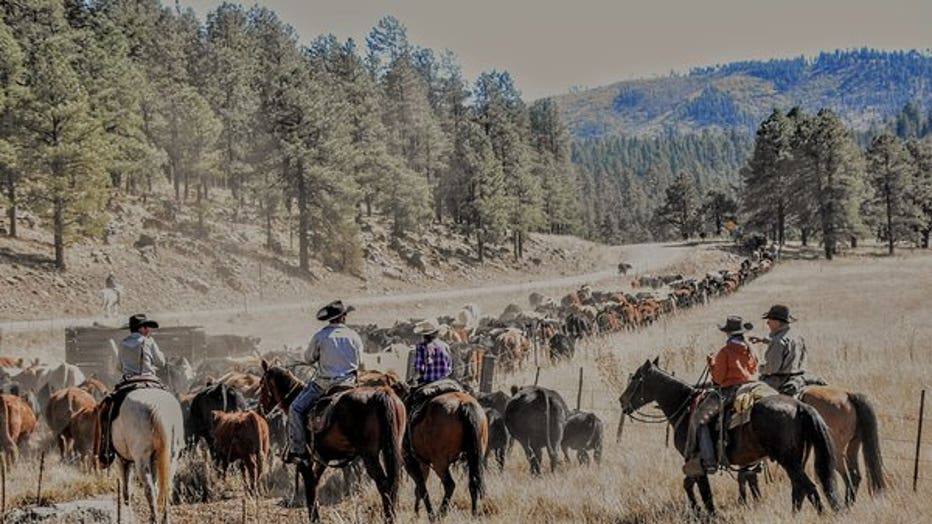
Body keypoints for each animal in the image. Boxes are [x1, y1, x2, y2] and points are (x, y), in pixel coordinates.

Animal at [102, 386, 186, 524]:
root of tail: (156, 406)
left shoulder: (123, 460)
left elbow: (127, 491)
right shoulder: (155, 461)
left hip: (141, 460)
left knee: (148, 489)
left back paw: (154, 518)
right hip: (171, 458)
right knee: (166, 488)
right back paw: (164, 519)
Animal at [256, 362, 406, 520]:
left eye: (262, 383)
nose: (259, 410)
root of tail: (383, 393)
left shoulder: (305, 460)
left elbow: (309, 484)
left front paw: (314, 517)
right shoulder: (323, 458)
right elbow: (314, 482)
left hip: (370, 455)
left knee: (383, 484)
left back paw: (388, 516)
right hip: (391, 448)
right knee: (392, 482)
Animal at [406, 388, 492, 520]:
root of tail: (463, 403)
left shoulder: (411, 462)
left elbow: (421, 487)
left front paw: (425, 514)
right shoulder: (422, 463)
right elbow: (420, 487)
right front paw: (418, 512)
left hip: (439, 463)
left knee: (450, 485)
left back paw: (440, 514)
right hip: (475, 457)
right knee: (474, 482)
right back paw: (474, 513)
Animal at [620, 358, 844, 512]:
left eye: (635, 379)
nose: (622, 401)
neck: (684, 406)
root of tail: (799, 405)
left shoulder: (696, 462)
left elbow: (705, 493)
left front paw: (707, 513)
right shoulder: (693, 464)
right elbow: (688, 484)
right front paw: (696, 510)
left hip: (788, 460)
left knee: (810, 488)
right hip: (795, 459)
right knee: (799, 489)